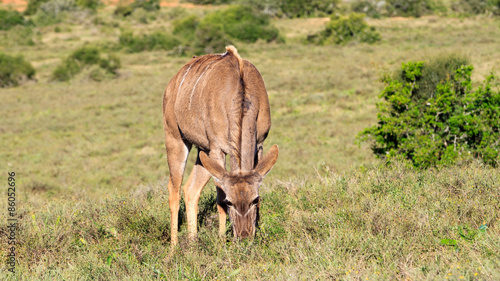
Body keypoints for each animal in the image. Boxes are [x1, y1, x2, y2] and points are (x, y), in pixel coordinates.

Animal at [162, 44, 278, 244]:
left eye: (255, 199)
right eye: (230, 202)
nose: (244, 236)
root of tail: (172, 83)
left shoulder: (260, 144)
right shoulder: (217, 149)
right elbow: (219, 199)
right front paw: (222, 242)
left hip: (202, 151)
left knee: (190, 189)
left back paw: (193, 243)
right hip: (175, 138)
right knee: (174, 190)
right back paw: (174, 247)